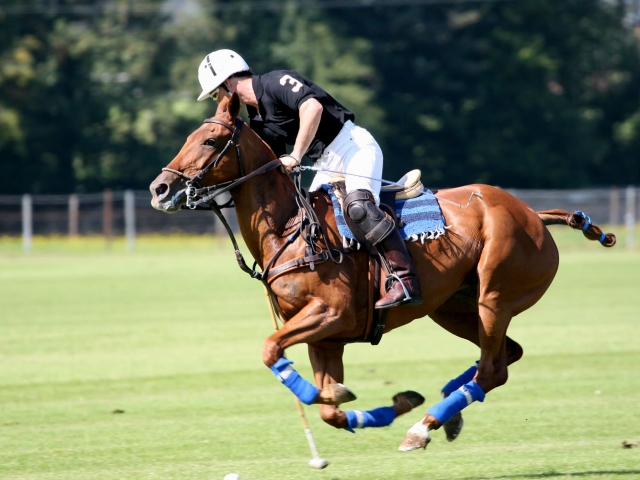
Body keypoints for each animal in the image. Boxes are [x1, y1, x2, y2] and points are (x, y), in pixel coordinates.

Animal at [149, 93, 615, 451]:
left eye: (211, 140)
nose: (160, 189)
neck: (289, 227)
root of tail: (534, 214)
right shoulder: (325, 338)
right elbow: (330, 411)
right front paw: (389, 400)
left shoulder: (330, 314)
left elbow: (270, 350)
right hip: (452, 307)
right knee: (505, 356)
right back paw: (445, 409)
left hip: (495, 296)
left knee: (491, 368)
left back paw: (423, 429)